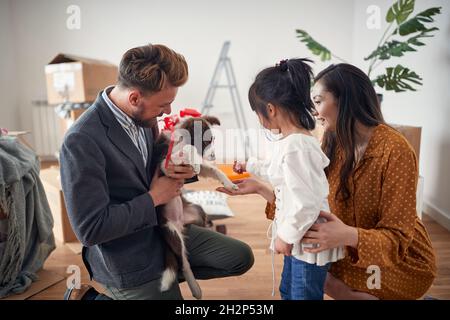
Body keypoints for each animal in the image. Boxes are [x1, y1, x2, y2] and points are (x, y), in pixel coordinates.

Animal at [152, 114, 237, 298]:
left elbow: (214, 170)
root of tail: (180, 222)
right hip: (172, 232)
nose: (213, 156)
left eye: (212, 140)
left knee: (206, 223)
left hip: (198, 211)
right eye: (205, 142)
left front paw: (229, 184)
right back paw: (196, 289)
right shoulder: (166, 164)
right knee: (183, 263)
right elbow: (190, 149)